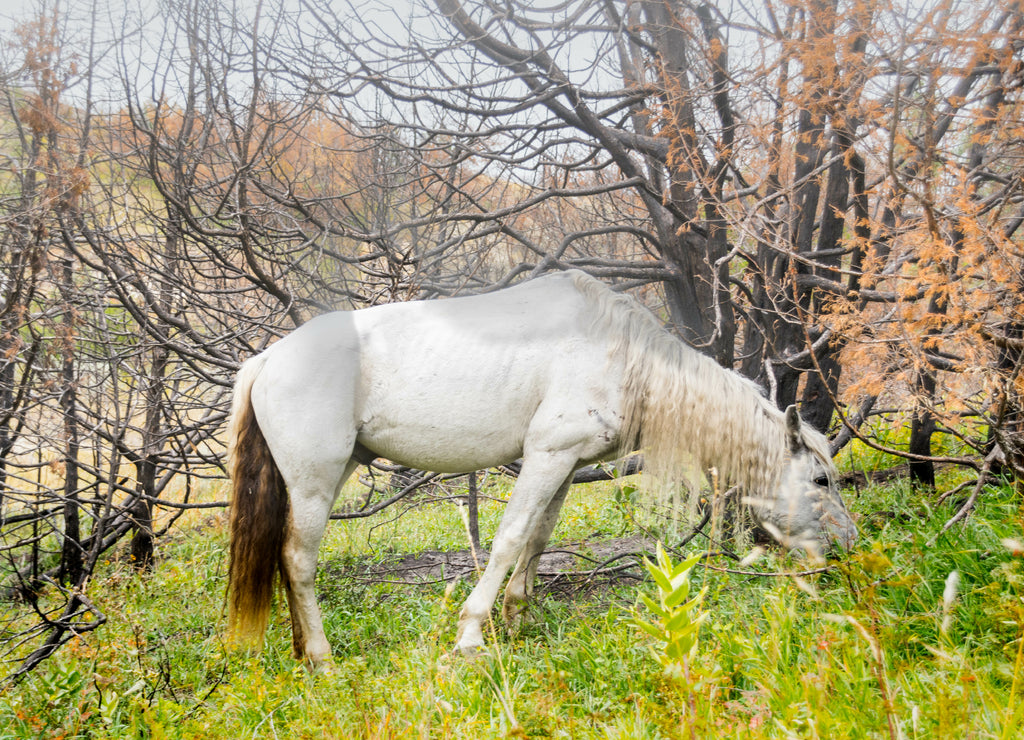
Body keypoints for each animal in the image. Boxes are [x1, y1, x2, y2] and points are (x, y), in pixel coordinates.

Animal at [225, 269, 857, 664]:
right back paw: (321, 657)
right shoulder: (548, 454)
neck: (620, 352)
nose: (848, 546)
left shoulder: (565, 464)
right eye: (821, 479)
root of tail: (268, 359)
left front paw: (518, 617)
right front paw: (472, 633)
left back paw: (301, 650)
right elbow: (508, 539)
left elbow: (537, 537)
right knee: (297, 558)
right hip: (315, 482)